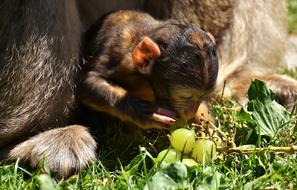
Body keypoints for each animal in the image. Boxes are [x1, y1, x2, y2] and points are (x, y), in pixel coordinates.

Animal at [79, 10, 217, 129]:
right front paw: (142, 110)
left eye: (202, 97)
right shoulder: (118, 57)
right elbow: (88, 82)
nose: (191, 112)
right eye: (185, 96)